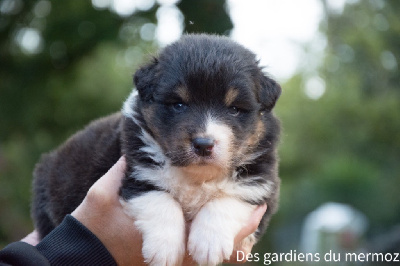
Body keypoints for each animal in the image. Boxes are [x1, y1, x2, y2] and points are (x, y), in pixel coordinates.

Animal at [31, 34, 282, 264]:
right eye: (179, 104)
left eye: (234, 109)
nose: (203, 144)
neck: (196, 177)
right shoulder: (138, 173)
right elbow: (161, 200)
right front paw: (165, 250)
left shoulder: (260, 184)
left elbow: (228, 199)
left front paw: (210, 244)